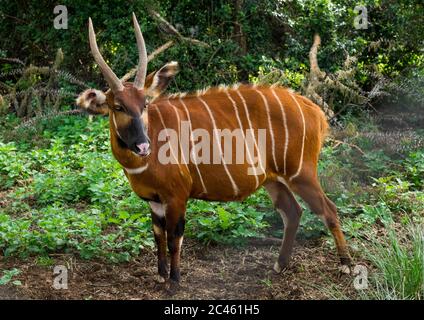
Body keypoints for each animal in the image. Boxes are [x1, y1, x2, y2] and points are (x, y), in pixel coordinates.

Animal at [75, 13, 352, 282]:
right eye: (118, 106)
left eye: (144, 104)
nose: (143, 146)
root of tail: (315, 110)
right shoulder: (154, 201)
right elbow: (158, 237)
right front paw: (161, 277)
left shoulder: (177, 195)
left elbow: (175, 238)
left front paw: (174, 281)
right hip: (273, 179)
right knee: (293, 212)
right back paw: (279, 265)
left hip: (300, 173)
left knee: (329, 209)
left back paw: (346, 266)